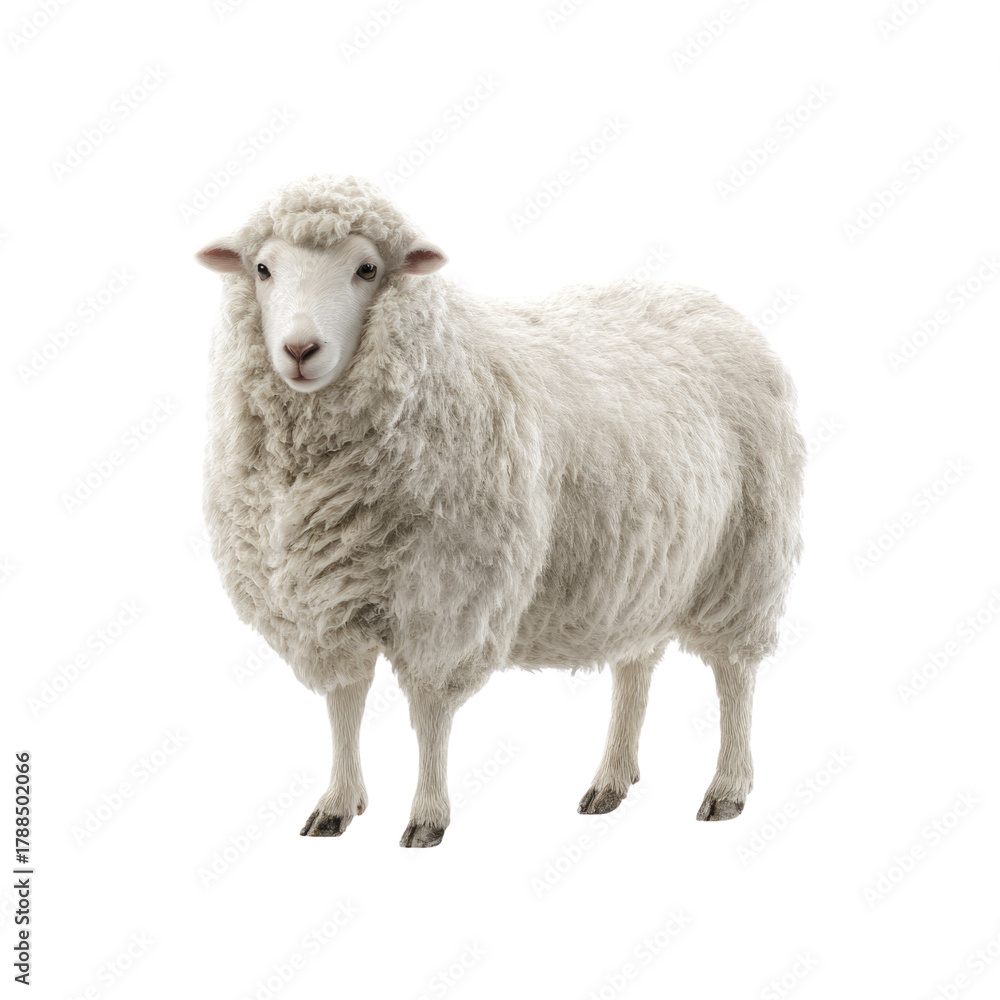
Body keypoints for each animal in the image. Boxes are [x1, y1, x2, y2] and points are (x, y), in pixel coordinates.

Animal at [195, 174, 805, 848]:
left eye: (366, 268)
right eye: (262, 268)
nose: (300, 349)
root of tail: (708, 301)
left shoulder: (447, 596)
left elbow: (430, 713)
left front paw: (427, 817)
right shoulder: (326, 600)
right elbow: (344, 704)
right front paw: (337, 804)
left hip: (745, 555)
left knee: (735, 675)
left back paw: (727, 789)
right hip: (644, 565)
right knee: (634, 667)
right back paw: (611, 781)